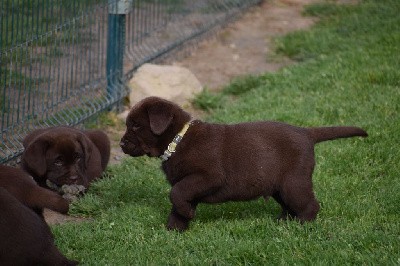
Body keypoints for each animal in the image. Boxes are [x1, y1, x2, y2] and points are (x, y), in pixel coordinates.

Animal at [119, 97, 368, 231]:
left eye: (136, 126)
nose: (121, 144)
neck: (178, 140)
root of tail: (307, 133)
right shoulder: (190, 183)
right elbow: (177, 201)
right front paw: (174, 229)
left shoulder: (207, 176)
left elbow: (176, 193)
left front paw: (186, 216)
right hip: (278, 185)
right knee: (289, 206)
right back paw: (282, 223)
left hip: (293, 182)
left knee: (310, 205)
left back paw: (302, 226)